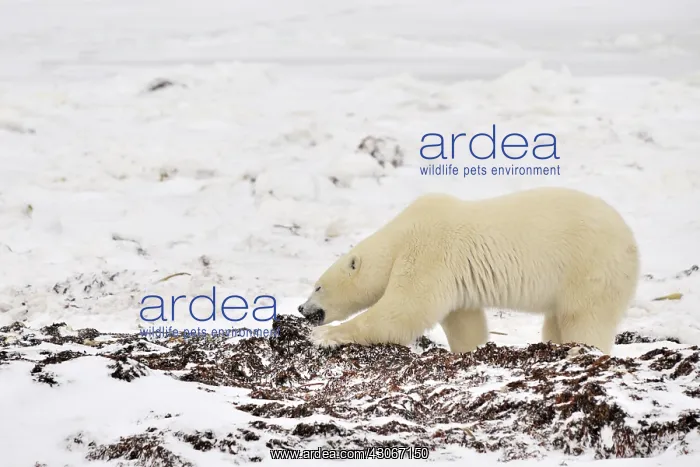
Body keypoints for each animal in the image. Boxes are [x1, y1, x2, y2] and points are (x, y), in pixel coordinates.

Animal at [297, 187, 640, 355]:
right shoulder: (452, 274)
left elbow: (403, 310)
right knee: (556, 320)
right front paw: (468, 351)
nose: (302, 309)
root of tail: (631, 242)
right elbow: (463, 320)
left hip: (590, 268)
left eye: (317, 287)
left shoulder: (429, 251)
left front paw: (325, 335)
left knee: (584, 318)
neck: (400, 235)